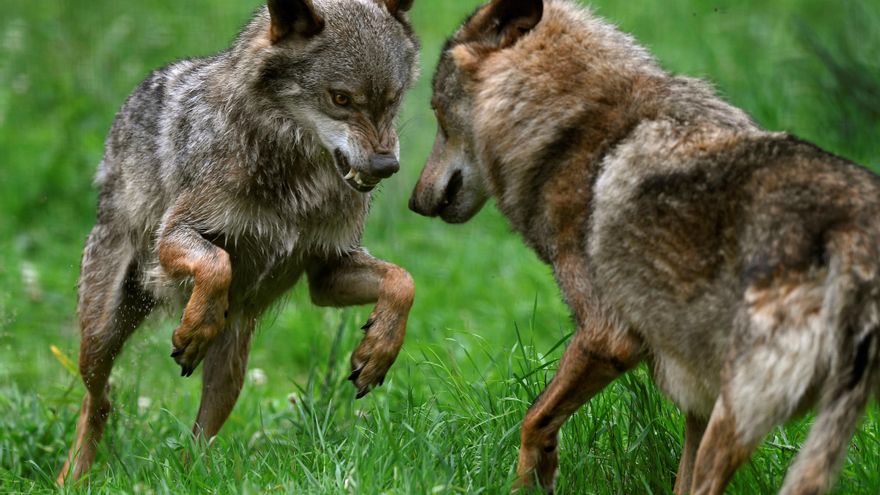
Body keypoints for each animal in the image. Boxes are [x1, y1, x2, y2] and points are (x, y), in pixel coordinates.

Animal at [57, 0, 419, 484]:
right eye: (340, 99)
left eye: (392, 99)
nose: (385, 166)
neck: (301, 181)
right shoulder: (174, 235)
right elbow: (216, 264)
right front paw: (194, 326)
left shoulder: (327, 271)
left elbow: (403, 281)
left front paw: (377, 351)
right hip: (99, 337)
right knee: (98, 401)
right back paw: (71, 478)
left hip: (232, 367)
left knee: (197, 439)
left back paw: (191, 479)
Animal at [409, 0, 880, 493]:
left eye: (437, 114)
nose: (414, 202)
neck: (571, 126)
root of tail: (852, 231)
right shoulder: (697, 395)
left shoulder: (607, 335)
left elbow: (533, 419)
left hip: (738, 411)